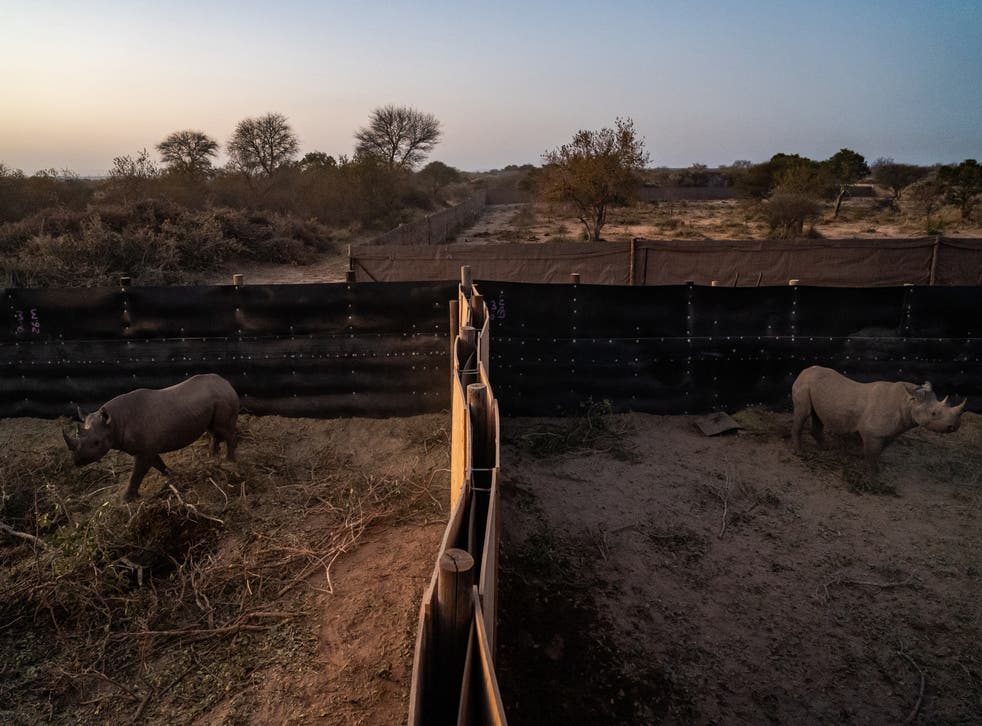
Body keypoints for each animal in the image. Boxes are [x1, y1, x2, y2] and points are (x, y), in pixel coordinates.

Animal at [62, 374, 240, 501]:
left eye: (96, 442)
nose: (77, 461)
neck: (114, 422)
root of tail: (227, 382)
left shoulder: (144, 450)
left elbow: (137, 473)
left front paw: (127, 499)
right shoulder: (146, 448)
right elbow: (157, 463)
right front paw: (171, 475)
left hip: (223, 398)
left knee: (223, 429)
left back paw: (229, 462)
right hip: (214, 399)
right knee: (213, 430)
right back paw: (213, 458)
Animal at [791, 365, 966, 476]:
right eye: (934, 413)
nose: (955, 426)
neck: (909, 400)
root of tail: (804, 370)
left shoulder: (890, 431)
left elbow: (878, 452)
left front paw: (877, 470)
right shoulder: (872, 432)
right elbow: (872, 452)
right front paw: (871, 477)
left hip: (815, 386)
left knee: (817, 415)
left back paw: (826, 448)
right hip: (804, 383)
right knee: (804, 413)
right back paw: (799, 453)